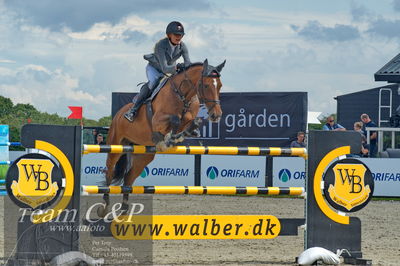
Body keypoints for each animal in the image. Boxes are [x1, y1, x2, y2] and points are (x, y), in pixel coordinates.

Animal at [97, 58, 227, 216]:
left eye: (219, 85)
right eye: (206, 85)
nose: (216, 115)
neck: (183, 95)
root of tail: (118, 114)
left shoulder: (187, 117)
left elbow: (189, 122)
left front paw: (180, 135)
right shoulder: (157, 120)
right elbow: (175, 120)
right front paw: (169, 138)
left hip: (143, 156)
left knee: (128, 178)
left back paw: (124, 210)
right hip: (115, 145)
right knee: (109, 172)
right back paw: (104, 207)